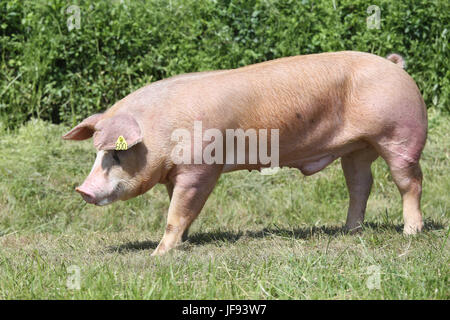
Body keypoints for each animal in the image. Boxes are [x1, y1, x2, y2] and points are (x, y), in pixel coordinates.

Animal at [62, 51, 426, 256]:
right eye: (96, 154)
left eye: (115, 154)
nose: (82, 190)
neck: (160, 132)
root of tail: (395, 66)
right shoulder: (176, 175)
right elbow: (179, 209)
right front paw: (183, 242)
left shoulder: (200, 169)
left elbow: (177, 212)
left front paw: (158, 255)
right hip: (358, 148)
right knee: (361, 185)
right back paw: (349, 231)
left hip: (400, 135)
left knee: (410, 182)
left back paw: (411, 232)